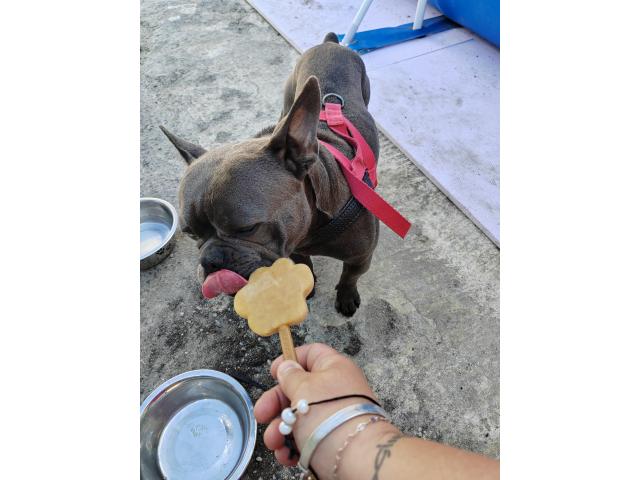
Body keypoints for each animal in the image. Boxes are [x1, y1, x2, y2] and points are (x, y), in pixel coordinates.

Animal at [161, 32, 380, 316]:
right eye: (190, 233)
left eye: (248, 228)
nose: (210, 260)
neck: (313, 228)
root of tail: (331, 44)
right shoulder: (293, 243)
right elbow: (303, 261)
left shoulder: (360, 258)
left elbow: (350, 276)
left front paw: (346, 296)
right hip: (289, 97)